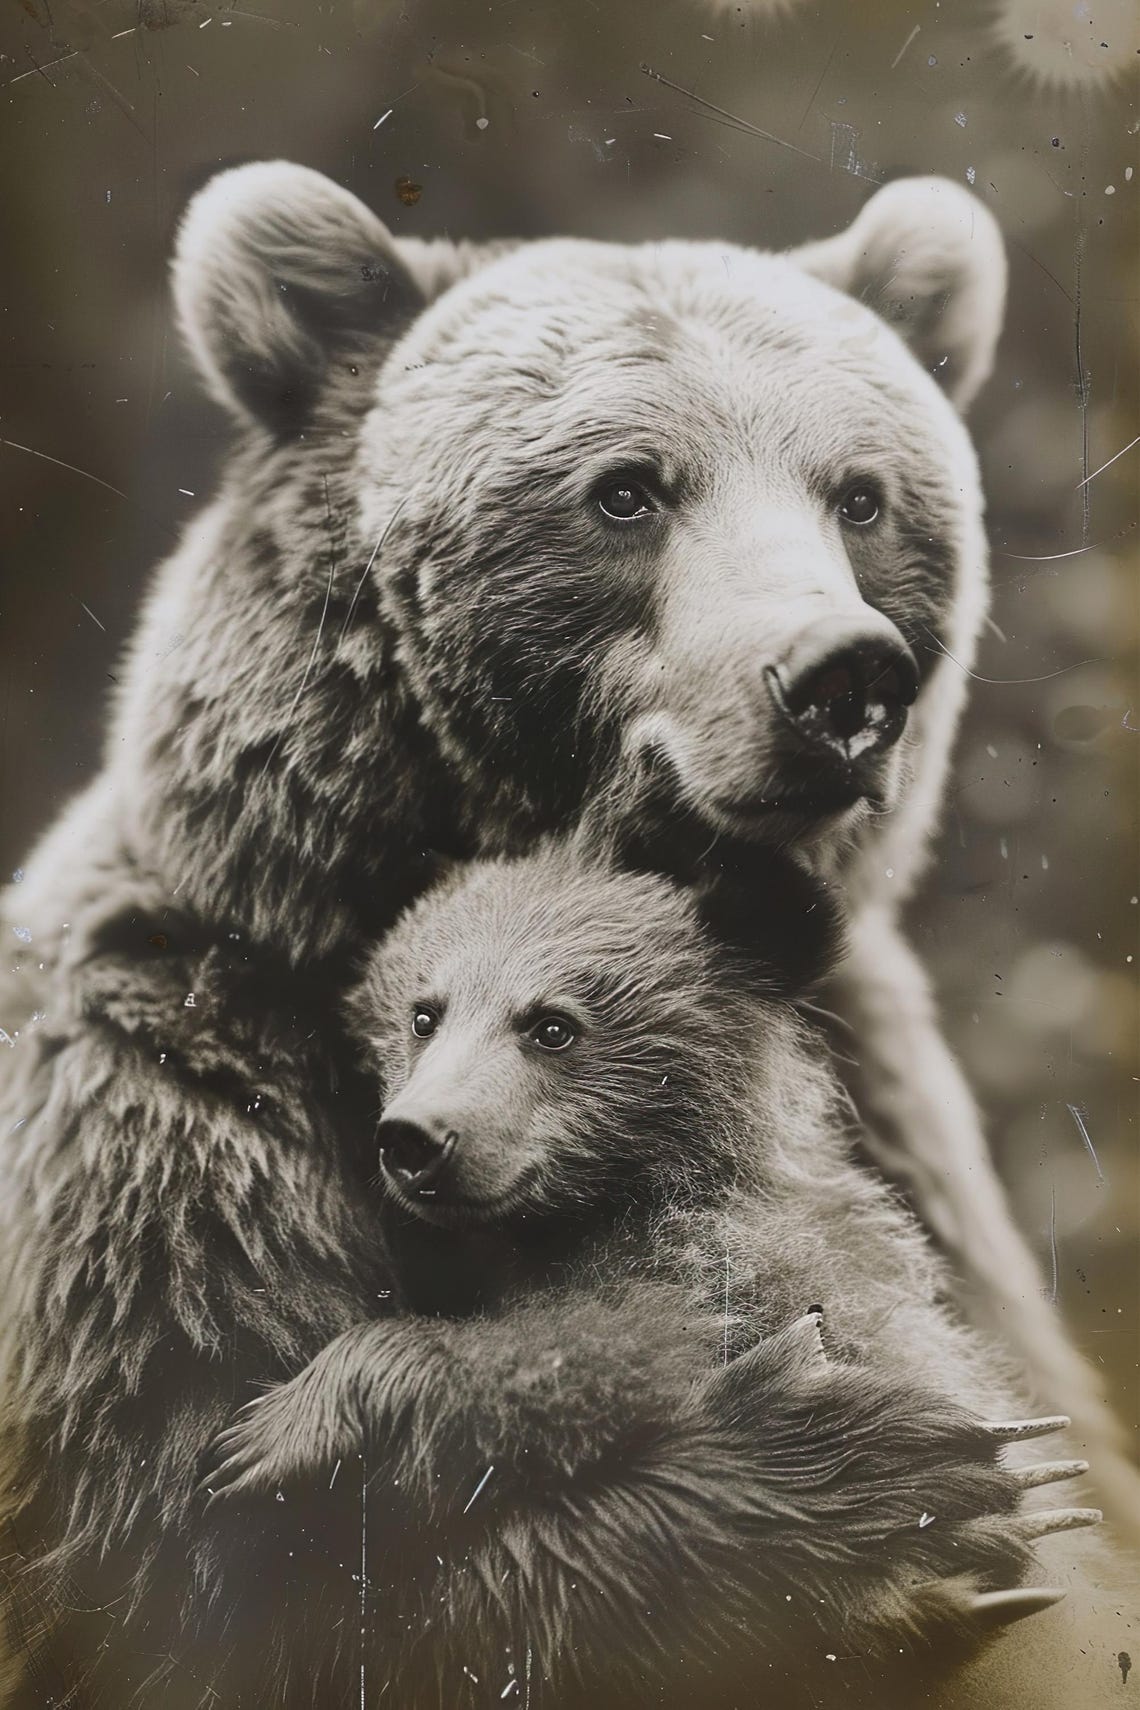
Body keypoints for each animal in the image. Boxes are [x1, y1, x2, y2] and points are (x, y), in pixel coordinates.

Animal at [201, 840, 1103, 1710]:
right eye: (425, 1012)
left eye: (552, 1025)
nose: (417, 1137)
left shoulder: (733, 1263)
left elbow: (618, 1342)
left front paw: (282, 1429)